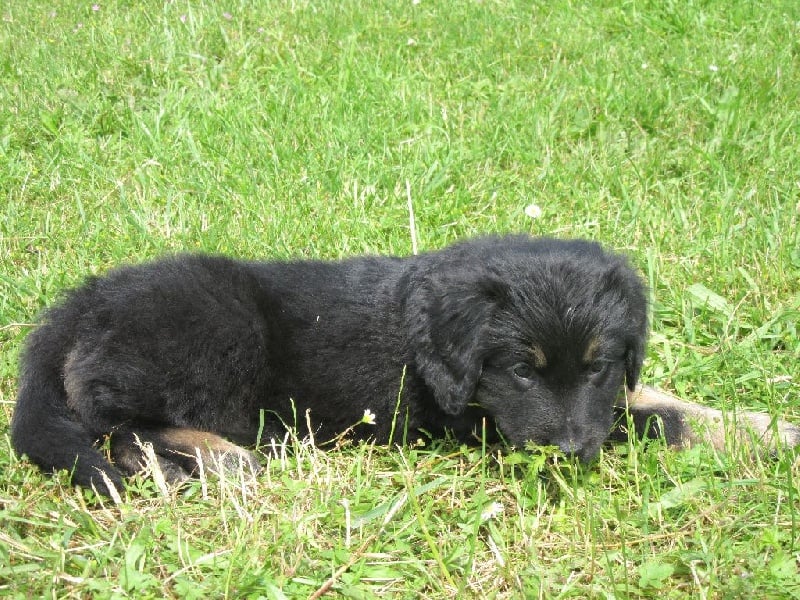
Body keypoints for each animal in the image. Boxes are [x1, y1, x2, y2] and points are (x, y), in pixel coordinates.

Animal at [11, 235, 800, 496]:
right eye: (521, 370)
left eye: (601, 365)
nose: (572, 455)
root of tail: (80, 303)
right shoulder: (484, 422)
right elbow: (657, 421)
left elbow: (656, 400)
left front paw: (771, 428)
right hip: (217, 330)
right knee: (114, 425)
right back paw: (218, 456)